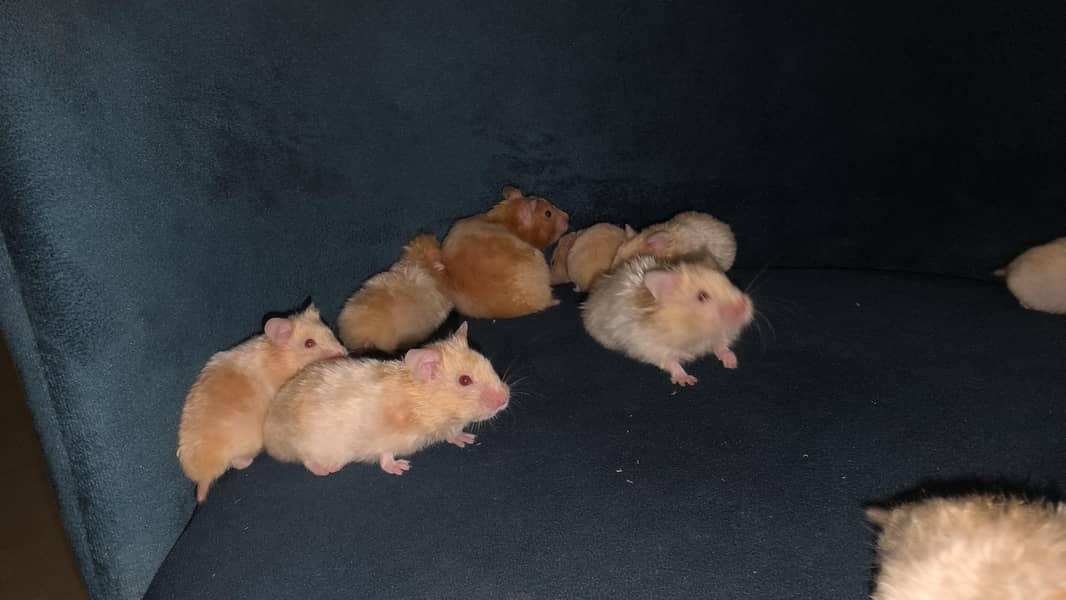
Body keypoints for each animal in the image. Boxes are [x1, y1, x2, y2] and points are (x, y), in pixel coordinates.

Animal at [177, 304, 347, 502]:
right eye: (309, 343)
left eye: (330, 332)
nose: (344, 353)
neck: (282, 358)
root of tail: (202, 476)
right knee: (237, 462)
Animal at [263, 322, 509, 477]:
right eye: (465, 380)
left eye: (488, 363)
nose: (506, 399)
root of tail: (270, 434)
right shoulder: (383, 439)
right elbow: (385, 455)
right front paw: (400, 467)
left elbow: (453, 434)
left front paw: (466, 439)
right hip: (308, 443)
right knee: (305, 459)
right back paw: (327, 469)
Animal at [582, 256, 753, 386]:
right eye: (702, 296)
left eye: (729, 283)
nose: (744, 307)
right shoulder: (650, 345)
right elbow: (671, 361)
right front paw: (687, 381)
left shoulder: (718, 334)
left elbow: (720, 345)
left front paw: (732, 363)